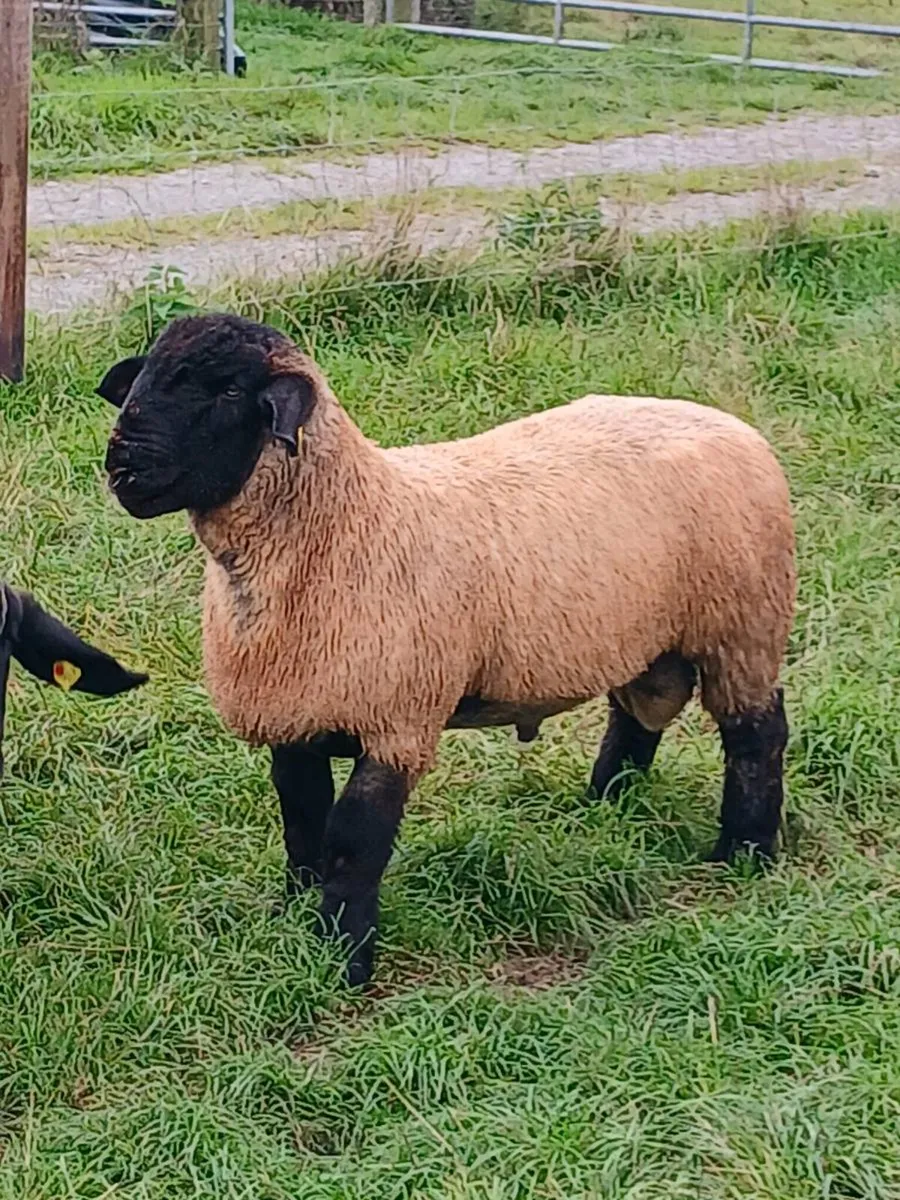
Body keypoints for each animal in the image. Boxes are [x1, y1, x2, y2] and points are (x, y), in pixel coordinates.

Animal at [97, 313, 796, 987]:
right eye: (145, 375)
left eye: (229, 391)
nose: (121, 463)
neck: (345, 523)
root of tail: (730, 423)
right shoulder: (298, 716)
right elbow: (301, 821)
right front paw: (294, 917)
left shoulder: (397, 722)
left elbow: (352, 842)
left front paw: (344, 959)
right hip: (648, 636)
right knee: (637, 714)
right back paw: (605, 805)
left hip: (742, 629)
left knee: (756, 734)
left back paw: (745, 853)